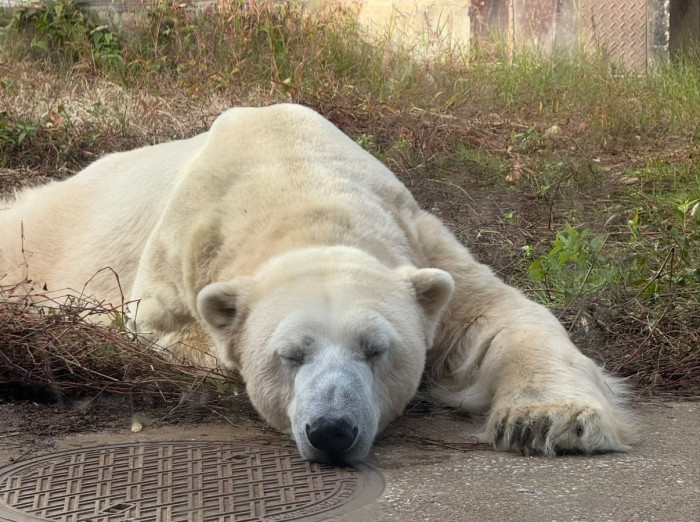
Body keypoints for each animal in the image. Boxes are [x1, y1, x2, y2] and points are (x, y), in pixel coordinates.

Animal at [1, 103, 636, 462]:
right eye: (290, 354)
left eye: (377, 349)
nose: (332, 430)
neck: (291, 177)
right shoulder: (173, 262)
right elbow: (173, 331)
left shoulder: (418, 237)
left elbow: (493, 318)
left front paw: (549, 421)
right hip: (42, 231)